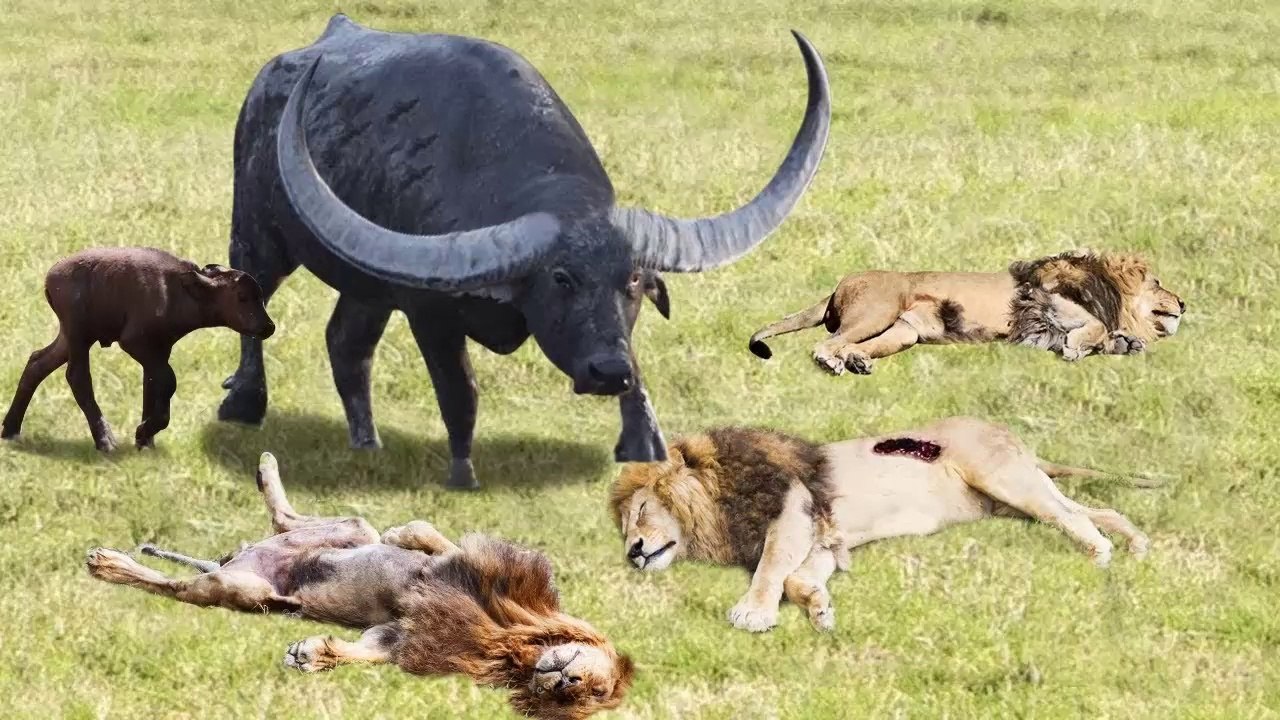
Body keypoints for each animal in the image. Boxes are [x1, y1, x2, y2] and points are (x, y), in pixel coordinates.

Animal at [86, 453, 634, 720]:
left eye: (585, 696)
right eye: (592, 684)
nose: (563, 682)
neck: (516, 648)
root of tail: (244, 557)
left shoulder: (398, 637)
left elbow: (364, 653)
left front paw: (310, 655)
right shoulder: (464, 573)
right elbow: (434, 538)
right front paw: (407, 534)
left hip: (242, 591)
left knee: (176, 585)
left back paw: (109, 565)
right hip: (347, 529)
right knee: (297, 519)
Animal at [218, 15, 830, 489]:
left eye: (633, 280)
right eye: (560, 278)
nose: (606, 372)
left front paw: (643, 444)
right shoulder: (429, 313)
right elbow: (460, 392)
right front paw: (462, 474)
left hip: (366, 285)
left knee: (346, 342)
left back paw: (367, 443)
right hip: (258, 233)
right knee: (252, 299)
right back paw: (243, 406)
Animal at [611, 418, 1152, 633]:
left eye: (641, 511)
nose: (631, 553)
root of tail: (1008, 433)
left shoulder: (793, 510)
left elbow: (770, 568)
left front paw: (753, 613)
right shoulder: (820, 536)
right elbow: (798, 577)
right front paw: (819, 608)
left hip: (1004, 479)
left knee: (1072, 516)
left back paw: (1101, 552)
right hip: (1014, 500)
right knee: (1093, 511)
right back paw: (1136, 544)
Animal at [746, 250, 1185, 374]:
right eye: (1158, 282)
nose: (1184, 304)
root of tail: (839, 283)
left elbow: (1104, 335)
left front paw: (1125, 344)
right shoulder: (1041, 297)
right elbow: (1092, 325)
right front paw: (1081, 345)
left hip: (903, 332)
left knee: (855, 346)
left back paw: (856, 363)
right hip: (877, 312)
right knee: (827, 342)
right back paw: (831, 363)